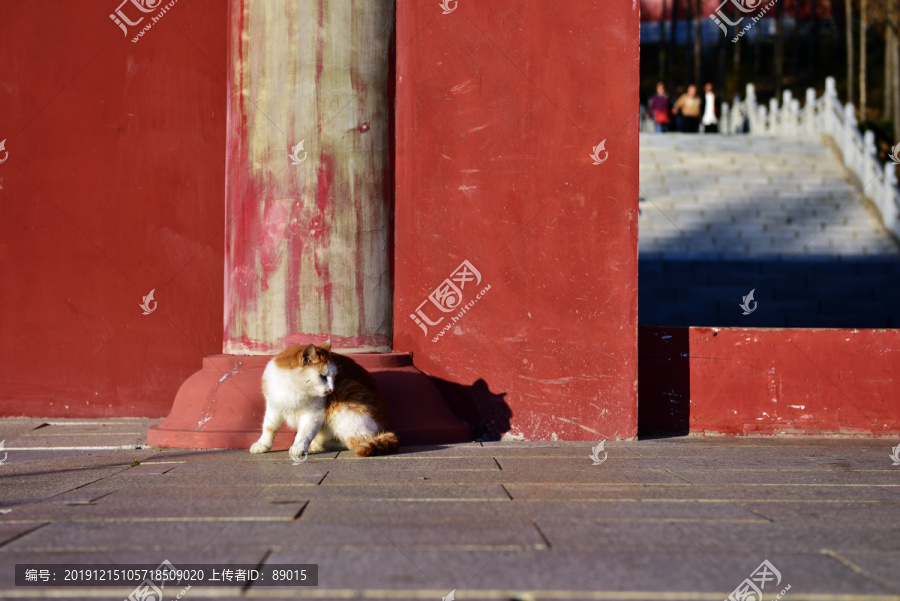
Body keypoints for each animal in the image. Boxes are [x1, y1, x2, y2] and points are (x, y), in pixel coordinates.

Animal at [250, 342, 398, 460]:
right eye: (323, 377)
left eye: (335, 376)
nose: (332, 389)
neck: (293, 387)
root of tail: (383, 428)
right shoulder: (274, 408)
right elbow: (269, 428)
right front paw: (263, 444)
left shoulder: (313, 415)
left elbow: (304, 433)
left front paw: (298, 447)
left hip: (345, 402)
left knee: (355, 441)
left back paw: (317, 445)